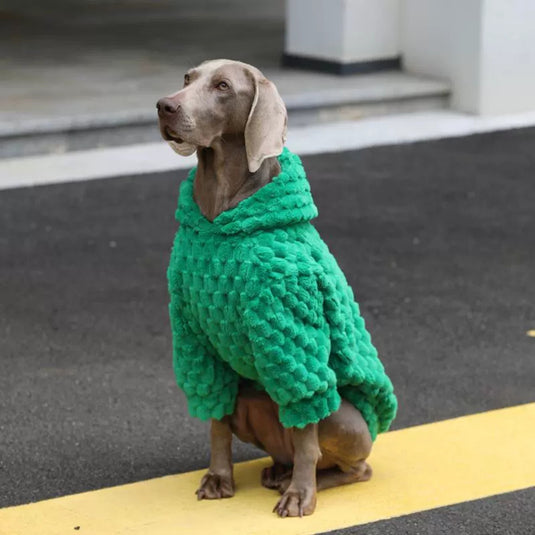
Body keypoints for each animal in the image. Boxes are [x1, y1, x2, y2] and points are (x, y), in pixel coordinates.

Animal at [157, 60, 396, 516]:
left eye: (223, 86)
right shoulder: (197, 337)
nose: (164, 106)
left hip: (342, 418)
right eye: (187, 78)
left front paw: (300, 495)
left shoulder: (291, 333)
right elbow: (216, 426)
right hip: (249, 398)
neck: (219, 218)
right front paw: (219, 478)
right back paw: (276, 472)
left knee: (343, 461)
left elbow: (306, 437)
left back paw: (300, 480)